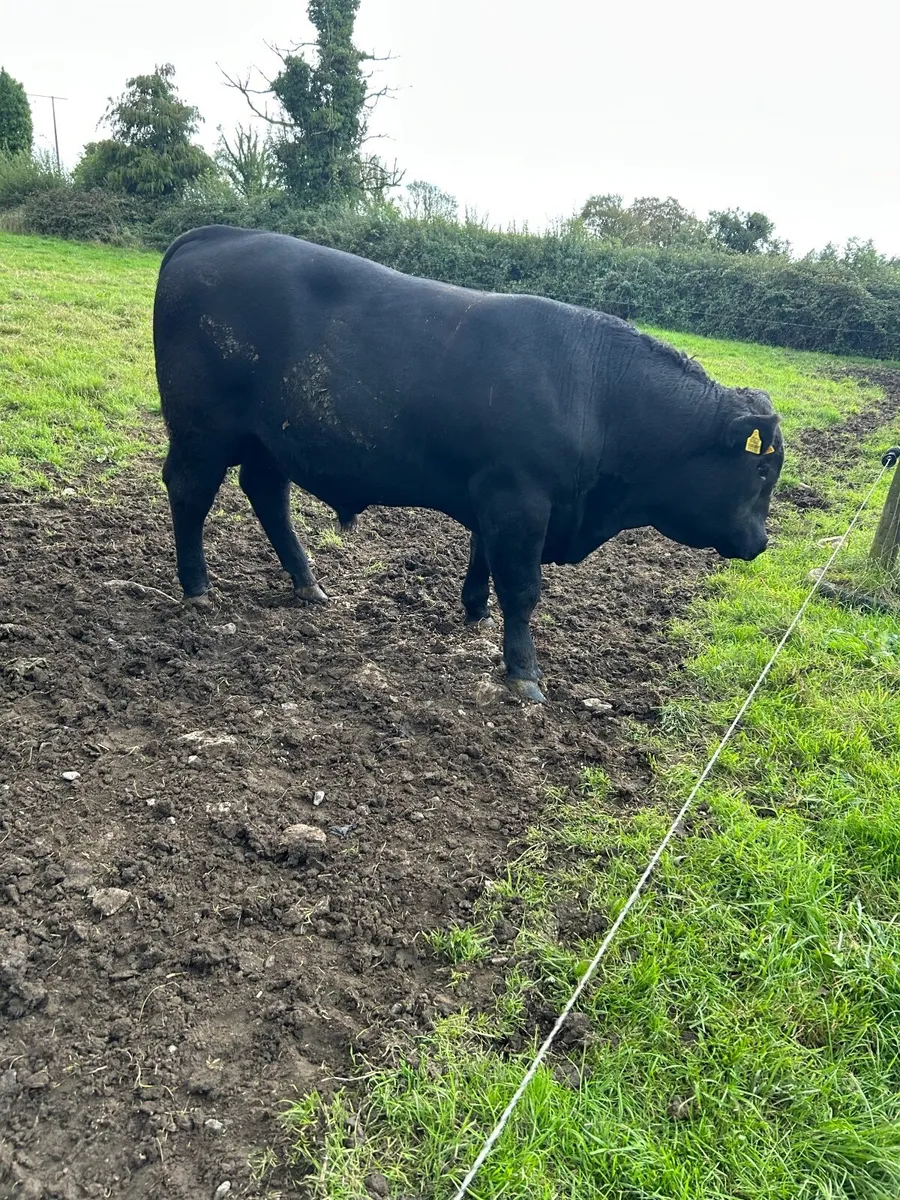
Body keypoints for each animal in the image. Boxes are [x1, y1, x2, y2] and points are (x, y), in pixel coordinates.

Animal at [153, 225, 784, 703]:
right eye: (759, 471)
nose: (761, 542)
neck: (600, 393)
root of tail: (216, 234)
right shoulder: (520, 501)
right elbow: (523, 589)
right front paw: (524, 673)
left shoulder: (496, 498)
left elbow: (482, 558)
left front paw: (474, 610)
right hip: (202, 434)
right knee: (189, 494)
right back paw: (198, 588)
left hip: (269, 441)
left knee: (267, 495)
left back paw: (309, 584)